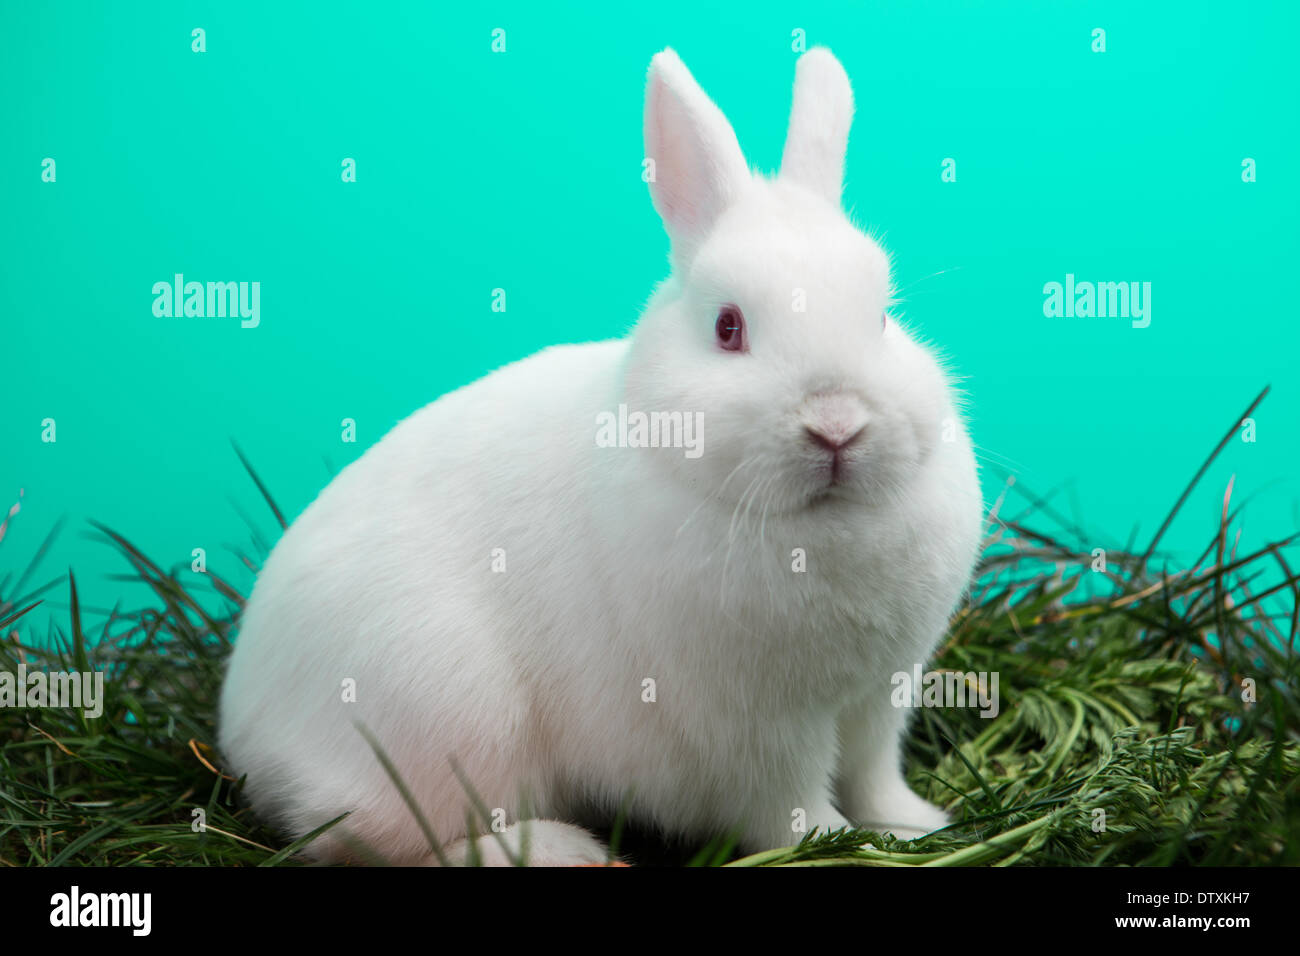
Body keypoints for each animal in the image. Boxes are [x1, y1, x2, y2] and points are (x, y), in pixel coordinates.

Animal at [217, 46, 984, 866]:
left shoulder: (877, 699)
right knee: (385, 840)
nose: (837, 426)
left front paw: (914, 825)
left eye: (883, 318)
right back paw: (562, 848)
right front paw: (835, 842)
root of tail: (245, 730)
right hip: (443, 715)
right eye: (728, 327)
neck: (818, 523)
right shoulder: (755, 735)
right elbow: (788, 806)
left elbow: (874, 774)